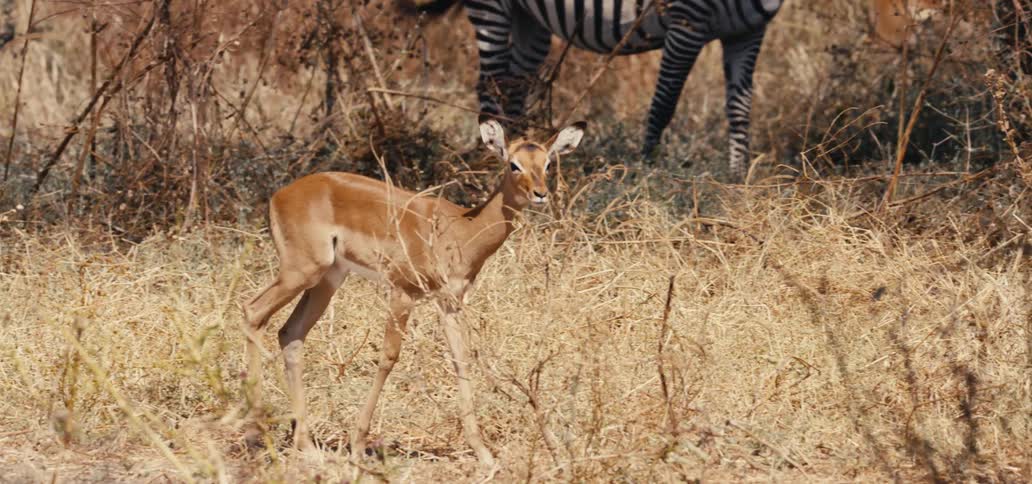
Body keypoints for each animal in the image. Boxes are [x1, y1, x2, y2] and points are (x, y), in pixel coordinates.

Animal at [242, 116, 586, 468]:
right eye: (513, 164)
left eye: (547, 163)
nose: (541, 194)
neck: (462, 228)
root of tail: (279, 195)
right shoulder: (402, 292)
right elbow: (388, 358)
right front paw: (358, 444)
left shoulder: (449, 303)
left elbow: (461, 360)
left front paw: (484, 454)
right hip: (301, 271)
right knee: (253, 312)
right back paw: (256, 433)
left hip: (327, 279)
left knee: (290, 333)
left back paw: (307, 446)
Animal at [404, 0, 783, 178]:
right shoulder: (687, 23)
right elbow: (663, 106)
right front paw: (647, 172)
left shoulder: (748, 32)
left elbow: (739, 109)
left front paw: (736, 182)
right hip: (491, 7)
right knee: (491, 84)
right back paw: (488, 164)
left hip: (528, 17)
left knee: (514, 87)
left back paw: (521, 153)